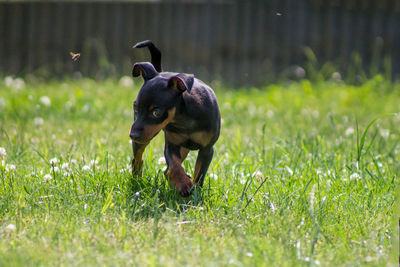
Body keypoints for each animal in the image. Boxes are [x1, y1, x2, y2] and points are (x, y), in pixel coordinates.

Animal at [130, 40, 220, 198]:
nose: (132, 135)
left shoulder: (207, 149)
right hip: (146, 139)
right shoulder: (172, 145)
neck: (183, 119)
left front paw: (195, 193)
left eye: (156, 112)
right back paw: (137, 182)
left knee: (166, 171)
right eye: (136, 108)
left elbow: (199, 174)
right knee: (138, 159)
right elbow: (175, 165)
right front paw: (184, 184)